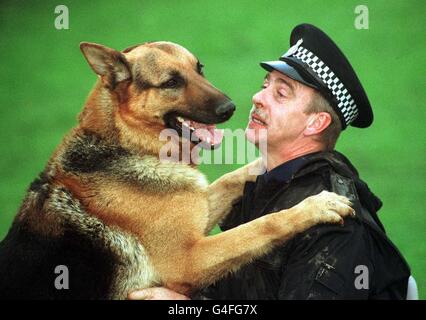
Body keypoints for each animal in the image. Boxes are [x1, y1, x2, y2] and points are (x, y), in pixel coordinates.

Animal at [0, 41, 352, 298]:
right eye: (171, 82)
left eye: (199, 69)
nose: (230, 108)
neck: (129, 142)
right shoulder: (188, 260)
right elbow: (263, 225)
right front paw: (317, 205)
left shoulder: (196, 212)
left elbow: (233, 177)